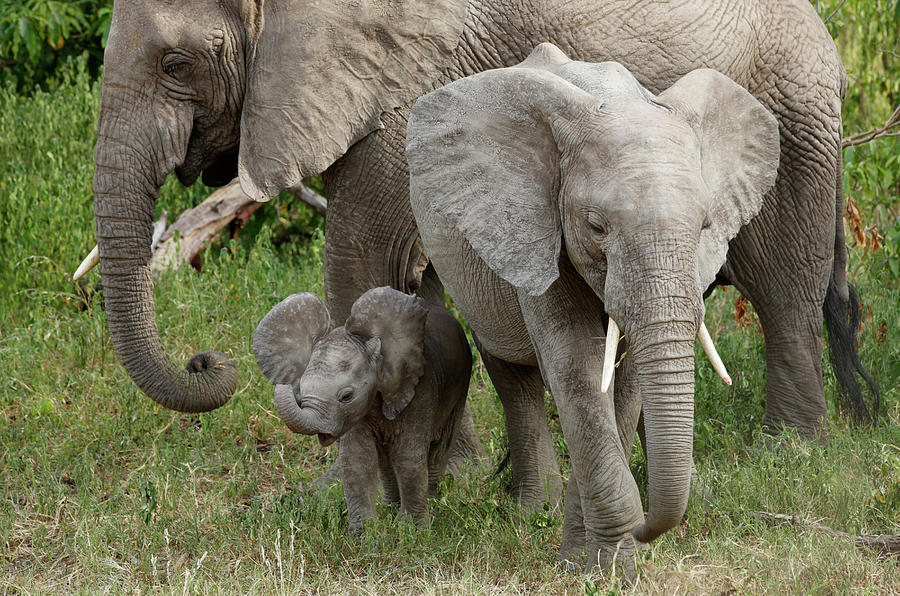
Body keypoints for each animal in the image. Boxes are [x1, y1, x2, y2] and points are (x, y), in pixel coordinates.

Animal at [248, 286, 468, 528]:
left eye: (346, 396)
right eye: (302, 391)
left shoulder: (421, 389)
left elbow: (407, 456)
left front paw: (413, 530)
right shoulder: (354, 415)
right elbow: (358, 460)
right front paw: (366, 534)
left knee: (440, 449)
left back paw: (433, 507)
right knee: (385, 462)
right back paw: (390, 509)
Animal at [406, 45, 780, 568]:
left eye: (705, 224)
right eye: (596, 226)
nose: (649, 528)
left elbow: (624, 383)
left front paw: (597, 557)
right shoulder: (535, 225)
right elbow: (577, 367)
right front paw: (607, 565)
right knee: (510, 372)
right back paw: (533, 511)